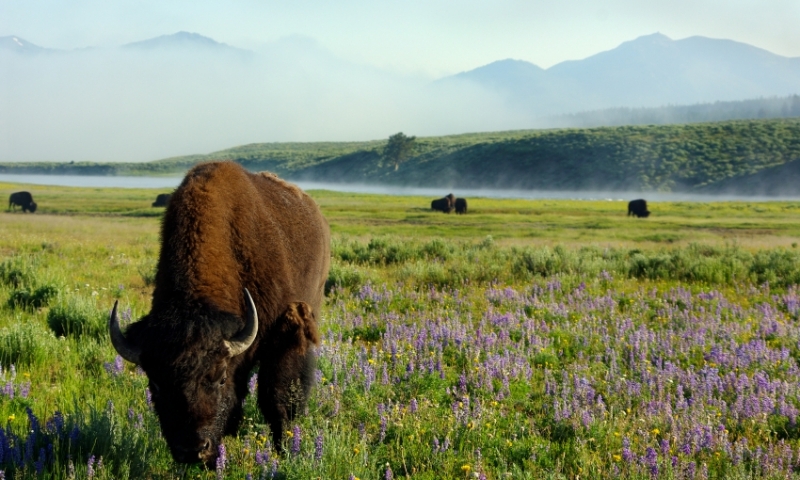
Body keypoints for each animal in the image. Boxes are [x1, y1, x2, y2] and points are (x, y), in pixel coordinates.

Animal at [109, 162, 330, 464]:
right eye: (155, 383)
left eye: (220, 377)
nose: (193, 450)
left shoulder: (283, 333)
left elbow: (277, 397)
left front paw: (285, 450)